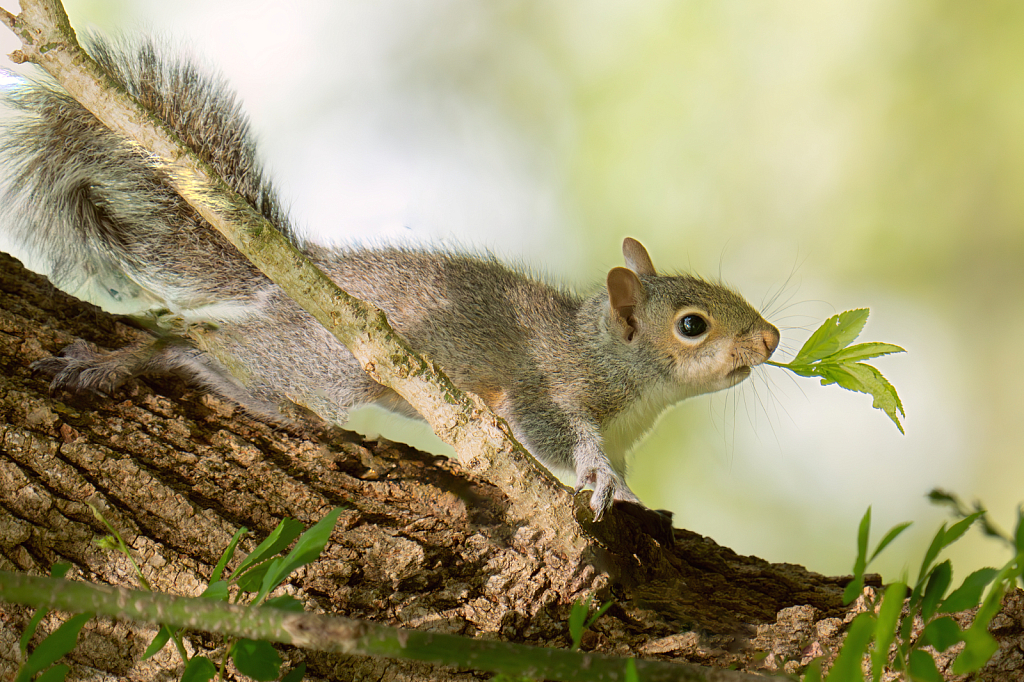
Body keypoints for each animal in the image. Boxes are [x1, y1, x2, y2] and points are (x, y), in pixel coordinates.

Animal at [2, 37, 782, 520]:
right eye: (691, 325)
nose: (772, 339)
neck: (626, 374)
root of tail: (299, 275)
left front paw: (629, 495)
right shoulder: (550, 389)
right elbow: (551, 431)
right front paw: (596, 478)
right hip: (330, 364)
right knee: (200, 342)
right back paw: (152, 363)